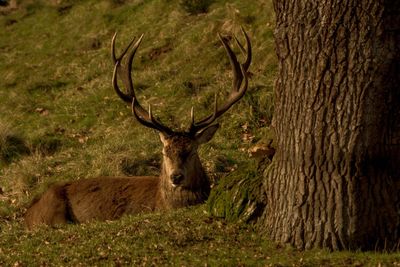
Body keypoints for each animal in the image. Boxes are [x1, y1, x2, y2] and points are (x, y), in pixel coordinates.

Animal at [24, 27, 250, 229]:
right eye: (164, 151)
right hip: (53, 214)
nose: (176, 177)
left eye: (192, 150)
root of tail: (29, 211)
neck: (162, 202)